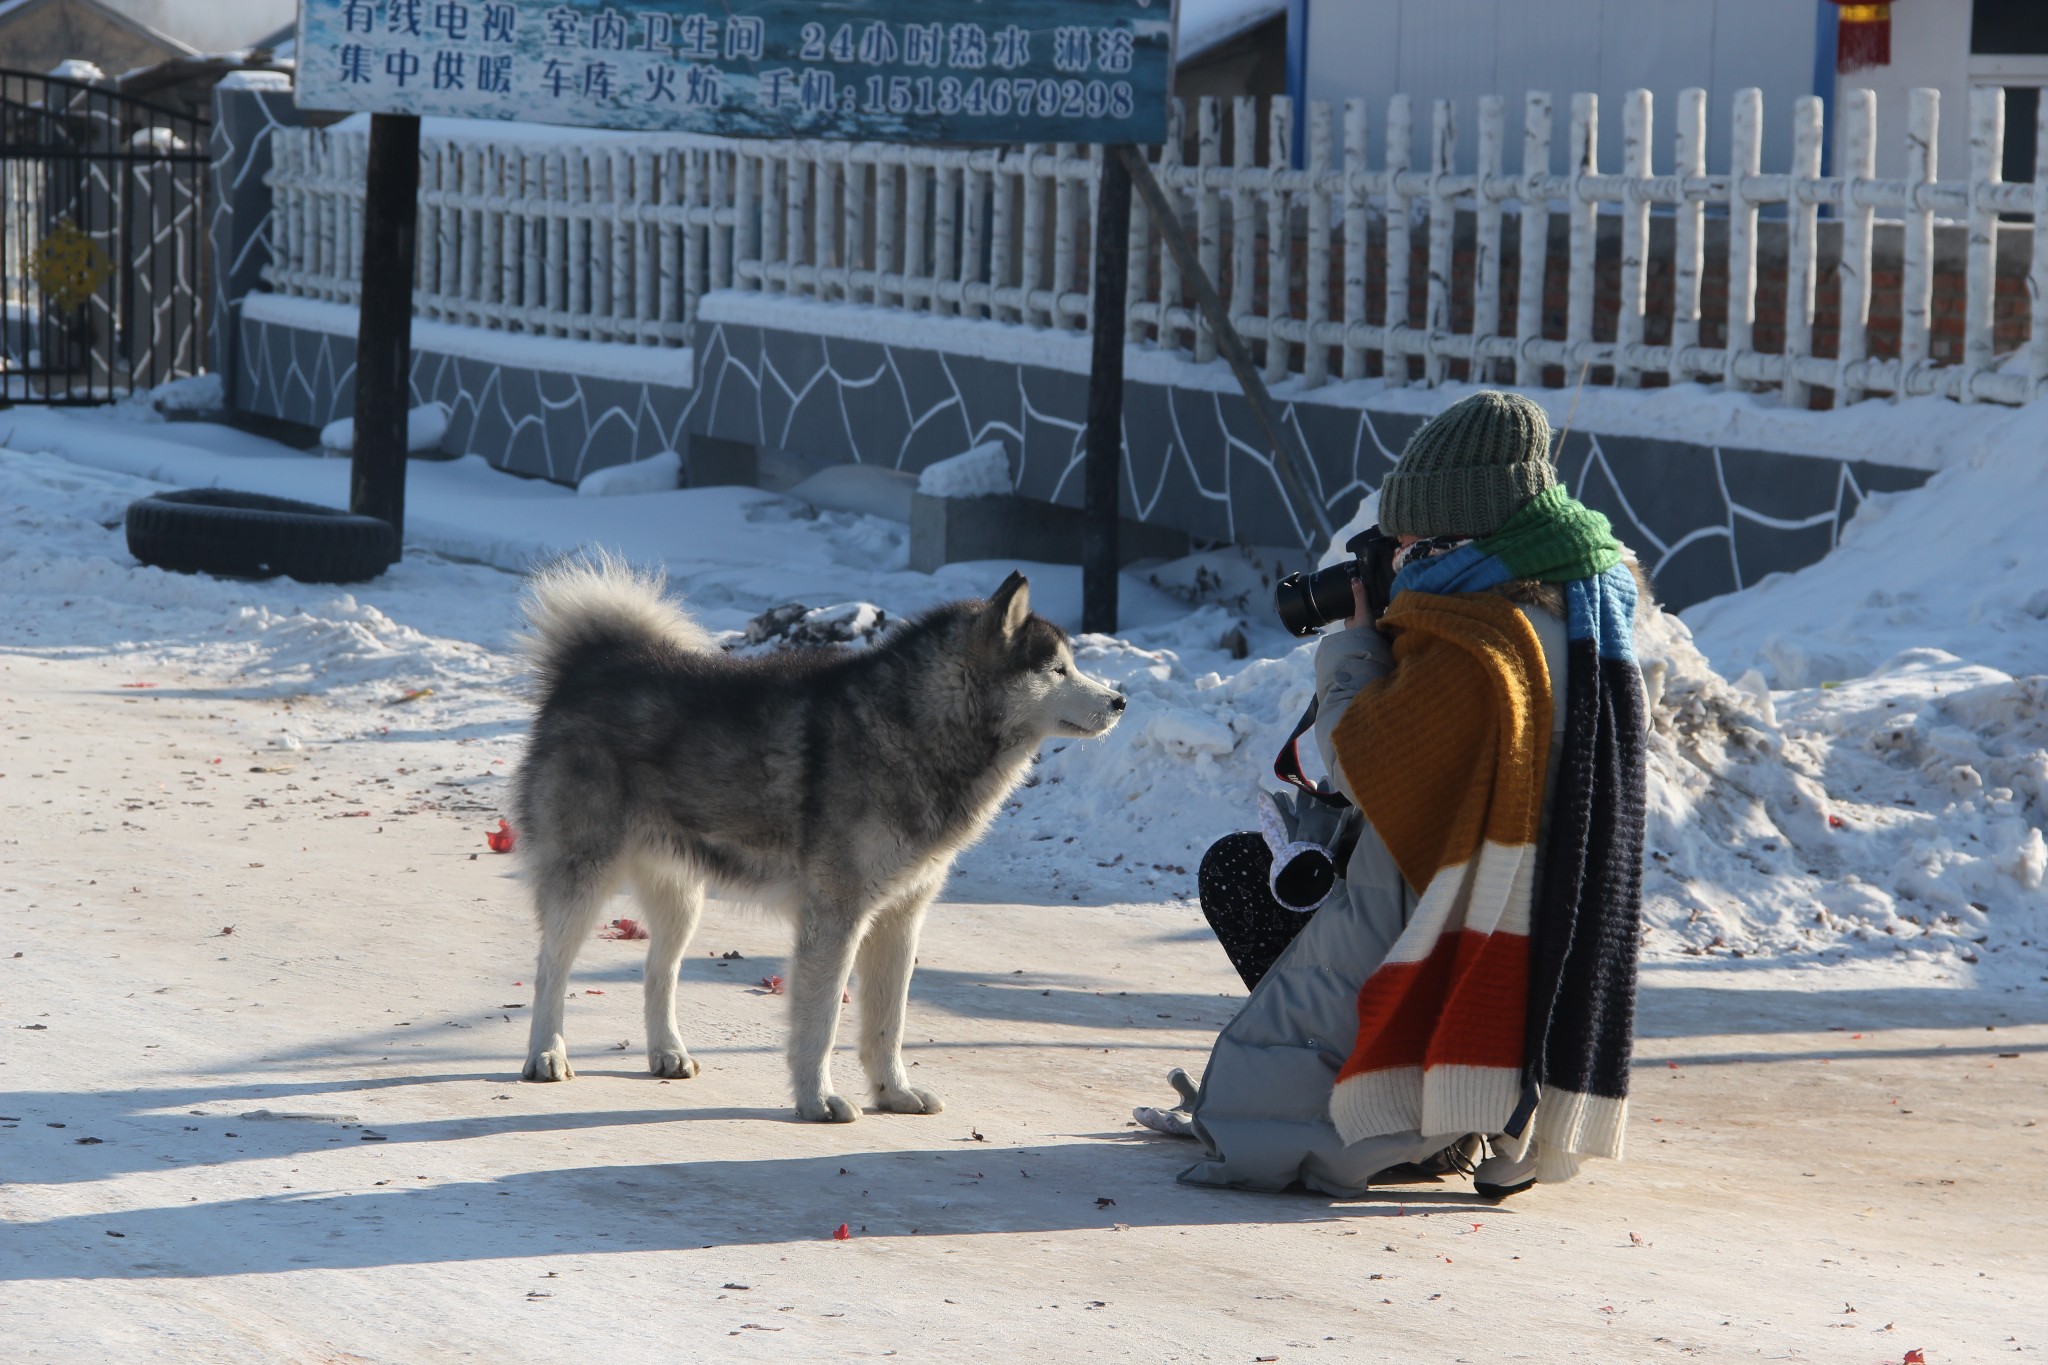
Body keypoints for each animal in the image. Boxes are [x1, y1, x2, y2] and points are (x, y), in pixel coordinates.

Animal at [505, 556, 1130, 1121]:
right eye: (1057, 670)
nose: (1120, 701)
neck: (913, 727)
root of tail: (593, 664)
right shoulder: (836, 917)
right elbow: (823, 1020)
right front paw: (818, 1100)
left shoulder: (900, 917)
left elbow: (888, 1022)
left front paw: (894, 1093)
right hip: (583, 880)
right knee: (550, 967)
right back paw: (547, 1054)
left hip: (682, 897)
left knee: (660, 970)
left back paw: (668, 1052)